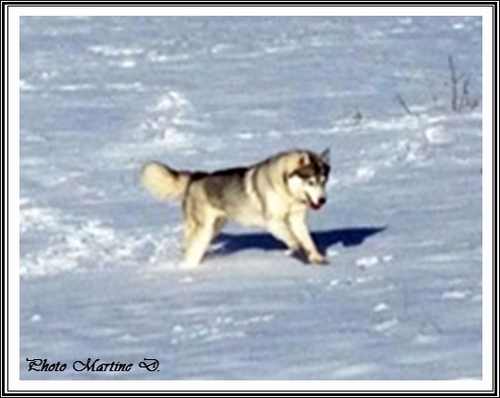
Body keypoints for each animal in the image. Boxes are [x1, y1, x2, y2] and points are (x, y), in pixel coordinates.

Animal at [141, 149, 330, 268]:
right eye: (311, 182)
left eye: (323, 181)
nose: (322, 200)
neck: (286, 191)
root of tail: (197, 176)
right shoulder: (274, 221)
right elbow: (294, 239)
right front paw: (297, 248)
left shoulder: (297, 220)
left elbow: (308, 241)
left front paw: (316, 257)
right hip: (203, 229)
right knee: (191, 251)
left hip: (214, 227)